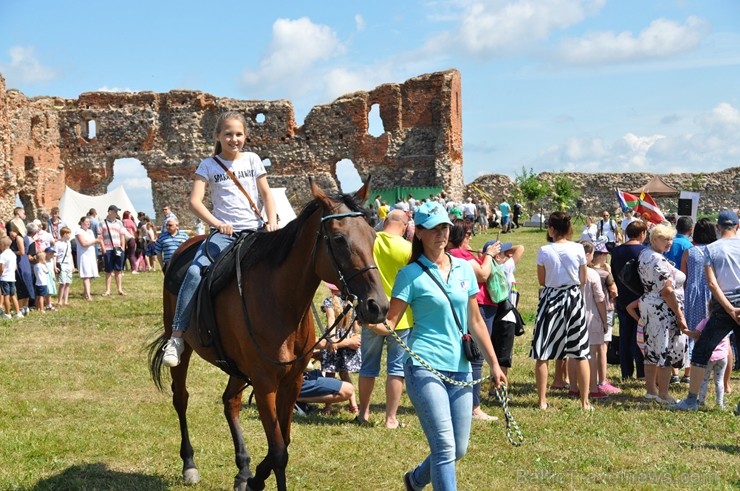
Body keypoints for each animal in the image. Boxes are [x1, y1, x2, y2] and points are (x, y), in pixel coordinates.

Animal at [149, 181, 388, 491]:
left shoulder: (291, 381)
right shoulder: (265, 385)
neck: (280, 302)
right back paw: (189, 464)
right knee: (181, 398)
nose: (377, 306)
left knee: (230, 403)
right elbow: (278, 451)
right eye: (338, 239)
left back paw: (242, 469)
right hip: (182, 346)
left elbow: (283, 442)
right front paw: (257, 479)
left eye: (372, 236)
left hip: (237, 367)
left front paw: (253, 478)